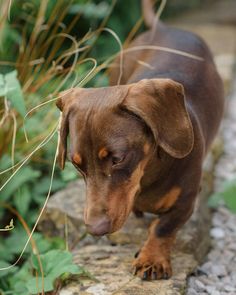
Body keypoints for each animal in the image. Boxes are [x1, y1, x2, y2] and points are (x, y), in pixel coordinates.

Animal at [56, 0, 224, 282]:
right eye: (77, 164)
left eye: (117, 159)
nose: (95, 229)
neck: (148, 173)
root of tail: (164, 27)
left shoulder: (186, 201)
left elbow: (162, 227)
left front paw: (151, 259)